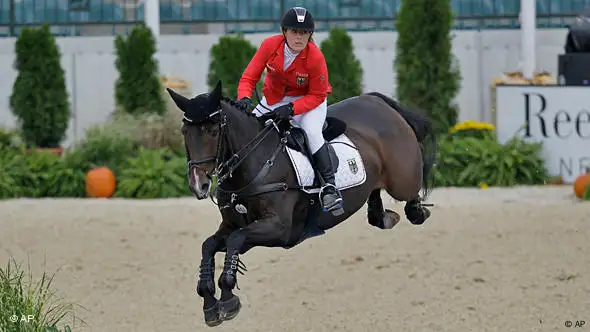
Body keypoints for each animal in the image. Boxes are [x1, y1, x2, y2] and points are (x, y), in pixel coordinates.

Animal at [166, 80, 440, 326]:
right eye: (185, 132)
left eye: (213, 132)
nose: (198, 184)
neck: (254, 163)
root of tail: (378, 102)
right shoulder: (235, 225)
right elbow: (209, 245)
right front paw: (209, 301)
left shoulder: (280, 229)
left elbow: (234, 241)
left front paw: (227, 299)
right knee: (375, 199)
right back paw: (382, 216)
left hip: (402, 180)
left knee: (411, 199)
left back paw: (416, 211)